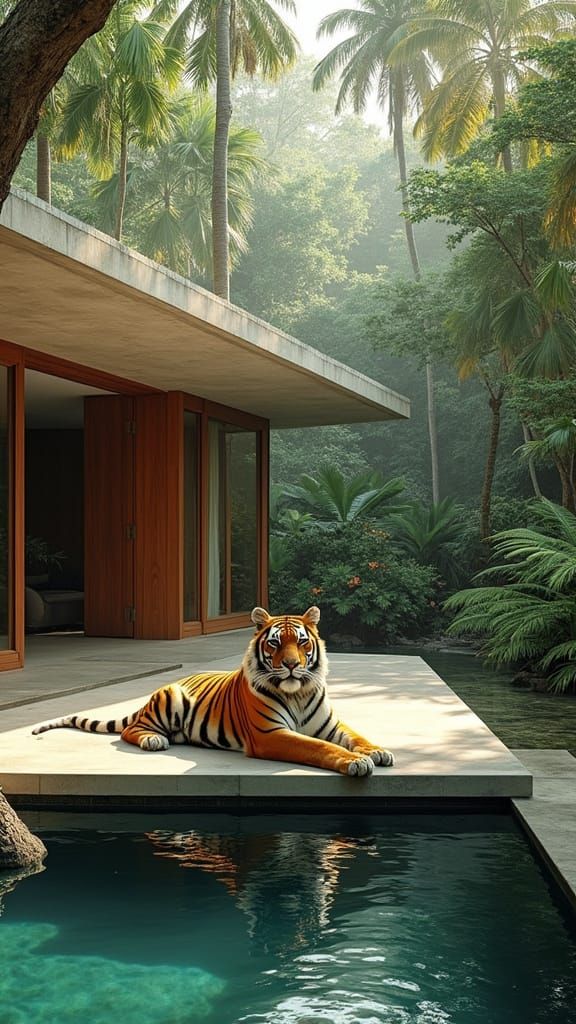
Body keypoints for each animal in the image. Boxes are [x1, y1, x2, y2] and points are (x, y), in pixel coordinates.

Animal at [32, 606, 395, 776]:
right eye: (275, 643)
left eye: (302, 642)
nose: (292, 665)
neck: (298, 691)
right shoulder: (270, 735)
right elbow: (319, 748)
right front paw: (357, 762)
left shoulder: (330, 724)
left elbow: (356, 737)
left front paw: (377, 751)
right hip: (170, 701)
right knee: (130, 730)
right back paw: (154, 740)